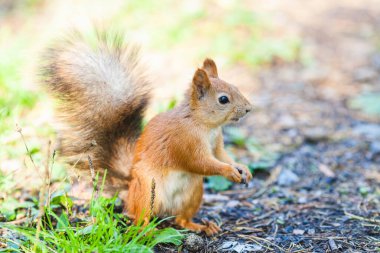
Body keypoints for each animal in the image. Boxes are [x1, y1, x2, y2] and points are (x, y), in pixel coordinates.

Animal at [43, 31, 252, 235]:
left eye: (236, 87)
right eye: (223, 99)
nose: (249, 108)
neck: (205, 125)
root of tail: (130, 191)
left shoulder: (216, 143)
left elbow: (222, 156)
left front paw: (242, 168)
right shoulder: (184, 141)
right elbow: (200, 162)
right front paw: (229, 171)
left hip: (192, 193)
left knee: (180, 220)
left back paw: (202, 226)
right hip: (146, 190)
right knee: (140, 217)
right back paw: (145, 230)